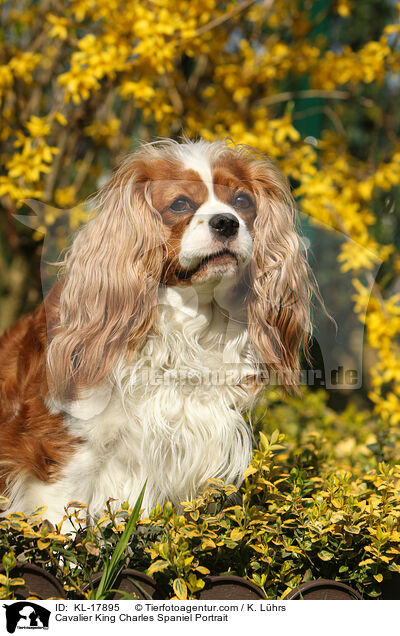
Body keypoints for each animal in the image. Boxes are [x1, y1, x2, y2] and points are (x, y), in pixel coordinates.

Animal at [0, 139, 312, 520]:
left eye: (242, 202)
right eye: (180, 204)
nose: (227, 222)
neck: (188, 327)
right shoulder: (66, 453)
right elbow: (64, 526)